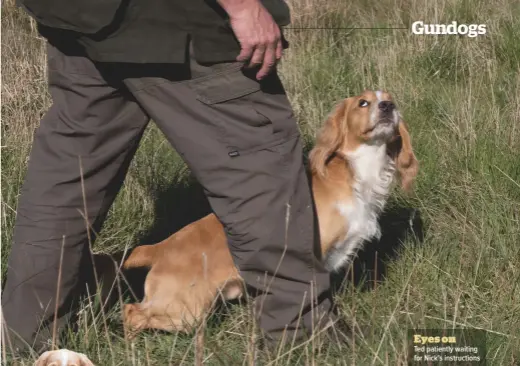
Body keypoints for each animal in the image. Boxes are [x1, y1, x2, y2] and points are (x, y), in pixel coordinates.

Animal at [120, 91, 416, 334]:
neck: (356, 171)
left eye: (391, 100)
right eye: (363, 103)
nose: (387, 106)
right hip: (186, 312)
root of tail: (158, 248)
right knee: (131, 313)